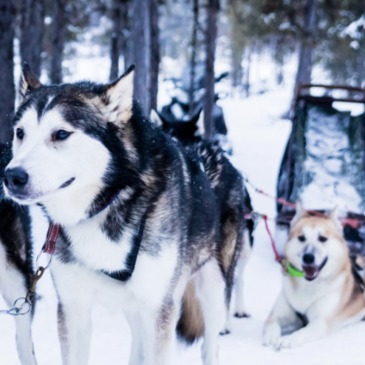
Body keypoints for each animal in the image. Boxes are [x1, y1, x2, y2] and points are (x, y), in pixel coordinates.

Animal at [2, 64, 246, 362]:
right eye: (20, 132)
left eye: (60, 134)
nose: (12, 177)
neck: (109, 202)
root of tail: (215, 152)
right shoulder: (73, 308)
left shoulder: (157, 309)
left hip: (213, 288)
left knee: (210, 344)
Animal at [262, 206, 364, 348]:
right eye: (301, 238)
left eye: (322, 238)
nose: (308, 257)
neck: (308, 285)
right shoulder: (277, 315)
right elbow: (272, 324)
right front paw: (271, 337)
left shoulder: (319, 323)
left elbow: (302, 332)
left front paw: (288, 339)